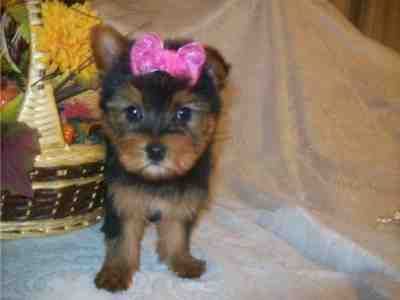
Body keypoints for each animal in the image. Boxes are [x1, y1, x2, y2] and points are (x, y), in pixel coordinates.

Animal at [90, 24, 228, 292]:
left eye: (183, 113)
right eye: (133, 112)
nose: (155, 150)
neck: (157, 179)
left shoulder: (184, 196)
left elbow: (177, 230)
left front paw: (182, 260)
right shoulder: (122, 197)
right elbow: (122, 237)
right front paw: (116, 271)